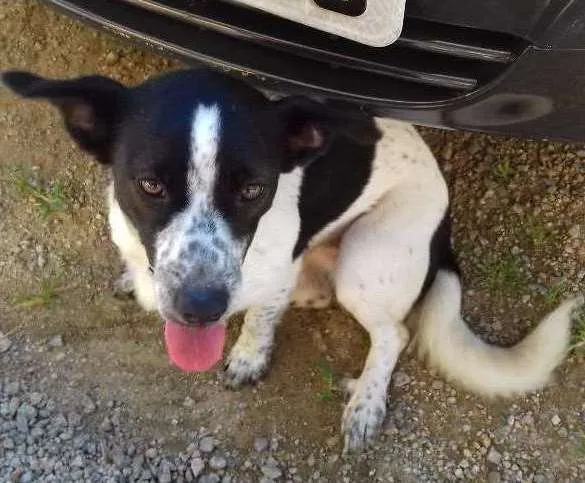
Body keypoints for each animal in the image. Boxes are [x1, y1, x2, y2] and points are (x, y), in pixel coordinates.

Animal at [3, 70, 580, 452]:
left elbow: (259, 323)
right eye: (149, 184)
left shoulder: (265, 274)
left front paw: (247, 356)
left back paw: (365, 402)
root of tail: (445, 222)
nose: (201, 308)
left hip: (365, 259)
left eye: (254, 189)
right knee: (315, 291)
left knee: (392, 333)